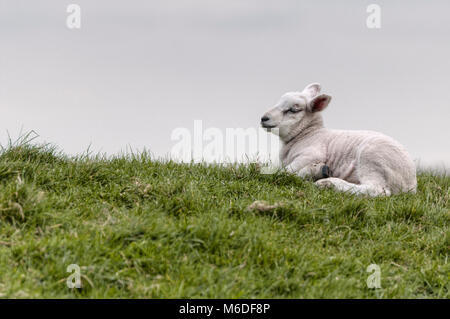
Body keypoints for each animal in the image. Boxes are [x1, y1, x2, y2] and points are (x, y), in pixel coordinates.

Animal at [262, 83, 416, 198]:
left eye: (293, 110)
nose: (264, 118)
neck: (307, 134)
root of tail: (410, 183)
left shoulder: (312, 153)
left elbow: (285, 172)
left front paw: (314, 171)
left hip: (373, 159)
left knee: (377, 190)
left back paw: (329, 183)